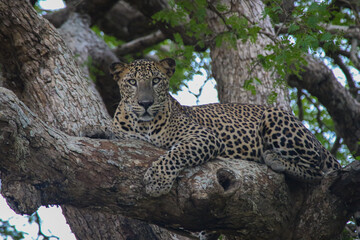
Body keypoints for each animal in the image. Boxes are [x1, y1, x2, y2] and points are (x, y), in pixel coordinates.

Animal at [108, 57, 342, 197]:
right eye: (132, 82)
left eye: (156, 80)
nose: (145, 103)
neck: (143, 125)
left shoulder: (204, 136)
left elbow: (176, 154)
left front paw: (157, 180)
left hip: (275, 118)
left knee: (319, 169)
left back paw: (276, 159)